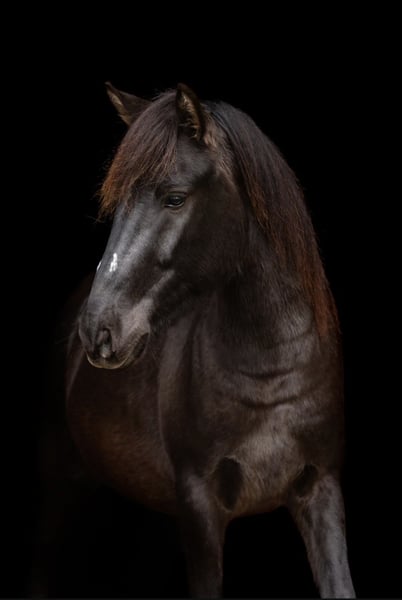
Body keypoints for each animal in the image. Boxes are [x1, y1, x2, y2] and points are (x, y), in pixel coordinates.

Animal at [32, 82, 355, 598]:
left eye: (175, 198)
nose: (98, 330)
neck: (271, 376)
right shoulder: (200, 506)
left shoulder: (322, 490)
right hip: (62, 483)